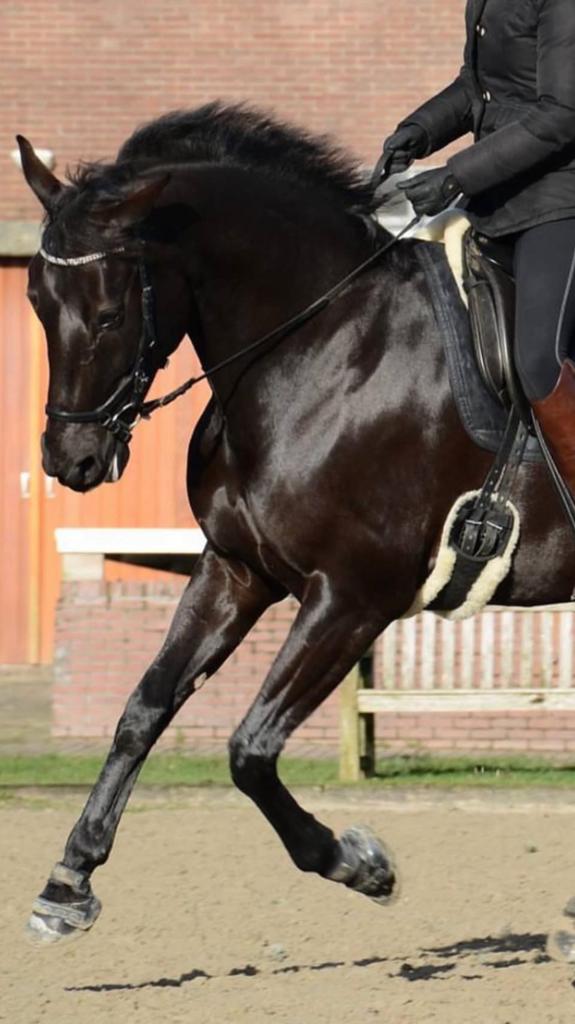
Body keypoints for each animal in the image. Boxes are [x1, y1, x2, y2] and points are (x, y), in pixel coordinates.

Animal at [17, 102, 575, 957]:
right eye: (39, 303)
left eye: (110, 312)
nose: (71, 460)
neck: (322, 343)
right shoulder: (235, 571)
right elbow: (144, 708)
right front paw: (68, 883)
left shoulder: (352, 596)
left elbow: (249, 751)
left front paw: (362, 864)